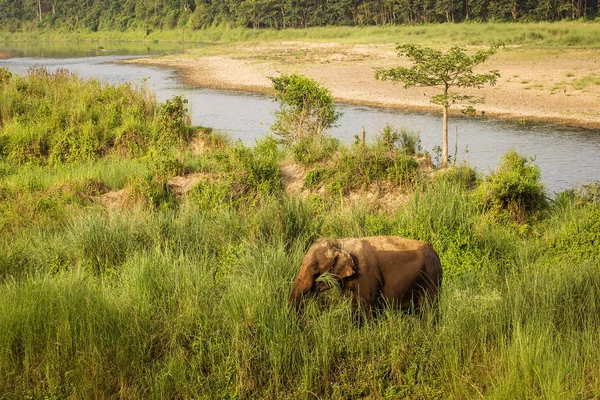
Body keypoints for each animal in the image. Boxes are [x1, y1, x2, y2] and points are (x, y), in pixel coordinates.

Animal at [288, 236, 442, 314]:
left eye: (315, 269)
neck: (340, 243)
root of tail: (437, 254)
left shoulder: (366, 275)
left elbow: (366, 303)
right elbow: (355, 304)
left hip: (431, 277)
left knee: (429, 308)